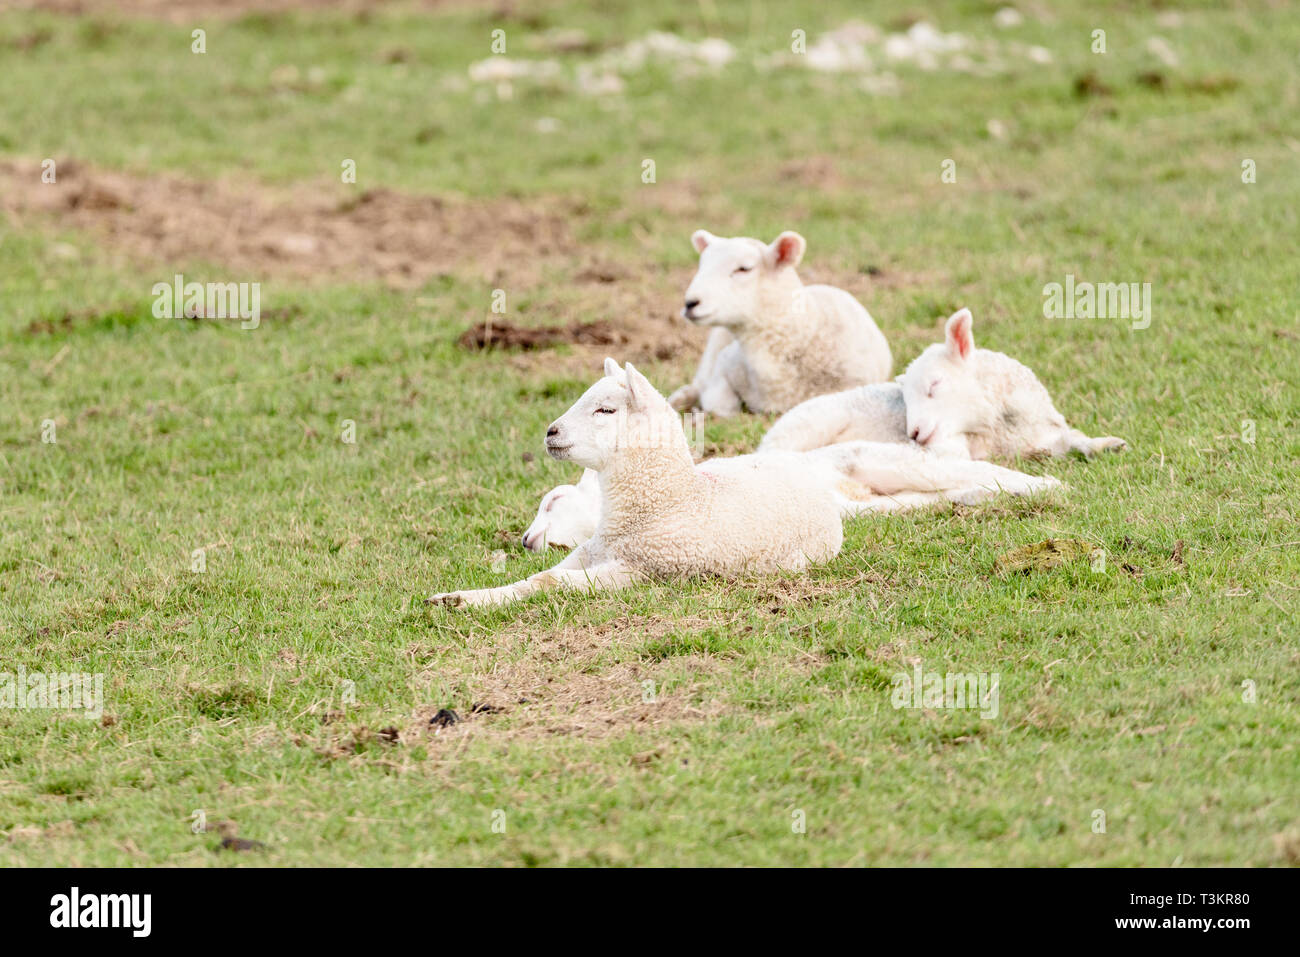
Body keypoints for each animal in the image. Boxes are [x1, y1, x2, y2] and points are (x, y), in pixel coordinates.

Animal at [426, 358, 1055, 605]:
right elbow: (538, 577)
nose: (551, 432)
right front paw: (458, 597)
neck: (669, 503)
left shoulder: (641, 571)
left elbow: (548, 585)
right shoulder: (592, 553)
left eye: (605, 410)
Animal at [759, 304, 1128, 457]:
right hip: (809, 426)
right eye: (904, 401)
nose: (913, 434)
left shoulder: (1039, 440)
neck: (1000, 428)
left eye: (934, 385)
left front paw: (1107, 445)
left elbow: (1075, 440)